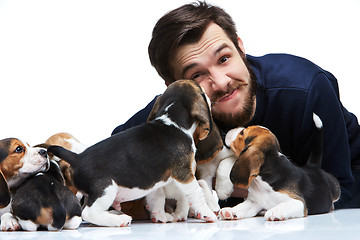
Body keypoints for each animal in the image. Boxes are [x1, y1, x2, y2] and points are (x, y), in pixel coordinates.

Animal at [47, 79, 219, 226]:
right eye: (200, 87)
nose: (208, 90)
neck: (173, 121)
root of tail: (78, 157)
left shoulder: (155, 180)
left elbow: (158, 197)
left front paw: (160, 216)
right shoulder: (184, 174)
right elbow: (197, 194)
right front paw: (208, 214)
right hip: (106, 189)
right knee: (88, 213)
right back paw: (119, 220)